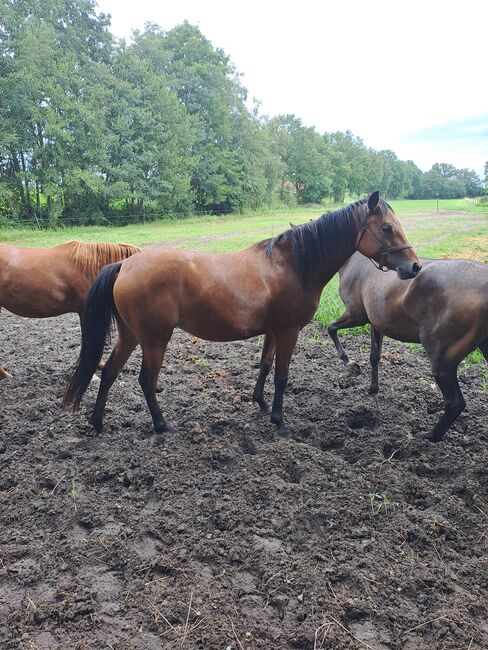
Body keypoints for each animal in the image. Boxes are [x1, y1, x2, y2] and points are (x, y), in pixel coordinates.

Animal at [65, 192, 422, 436]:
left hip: (130, 336)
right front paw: (279, 420)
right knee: (145, 380)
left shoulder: (273, 332)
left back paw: (97, 422)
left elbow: (264, 366)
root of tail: (124, 264)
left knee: (109, 372)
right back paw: (161, 424)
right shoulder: (289, 332)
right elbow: (281, 376)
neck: (293, 265)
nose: (414, 266)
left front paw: (260, 403)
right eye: (387, 228)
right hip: (154, 340)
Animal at [326, 252, 488, 440]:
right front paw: (373, 388)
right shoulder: (376, 322)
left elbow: (331, 328)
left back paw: (428, 436)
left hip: (442, 361)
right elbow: (374, 356)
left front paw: (350, 363)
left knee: (454, 403)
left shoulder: (356, 315)